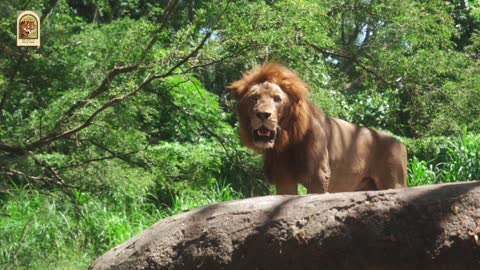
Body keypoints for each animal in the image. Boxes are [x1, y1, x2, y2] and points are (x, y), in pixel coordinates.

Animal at [228, 62, 404, 194]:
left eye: (277, 99)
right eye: (254, 98)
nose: (263, 114)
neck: (288, 140)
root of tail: (400, 142)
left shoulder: (319, 177)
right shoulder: (284, 178)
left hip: (395, 182)